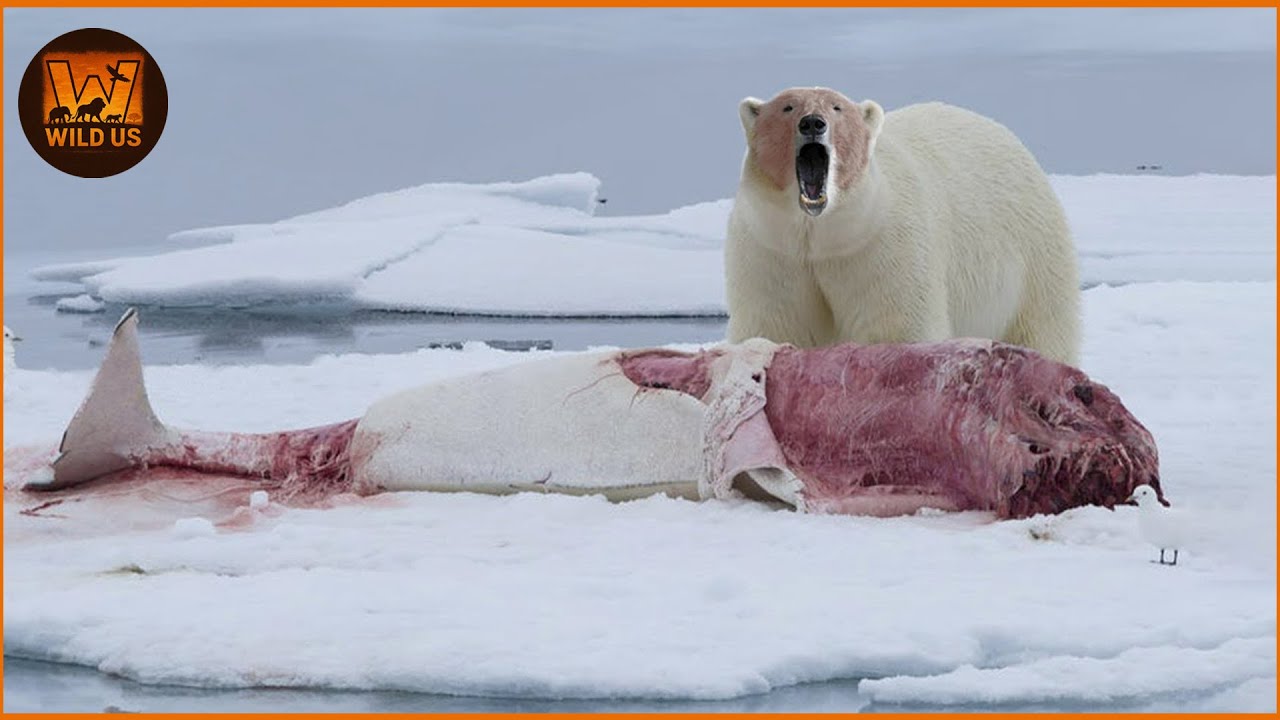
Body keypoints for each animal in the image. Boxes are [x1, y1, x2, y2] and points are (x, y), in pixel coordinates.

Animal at [724, 87, 1080, 366]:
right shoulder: (771, 252)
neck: (819, 235)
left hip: (1033, 260)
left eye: (837, 108)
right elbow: (777, 325)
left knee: (1043, 329)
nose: (812, 123)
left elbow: (897, 326)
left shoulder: (883, 246)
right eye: (787, 107)